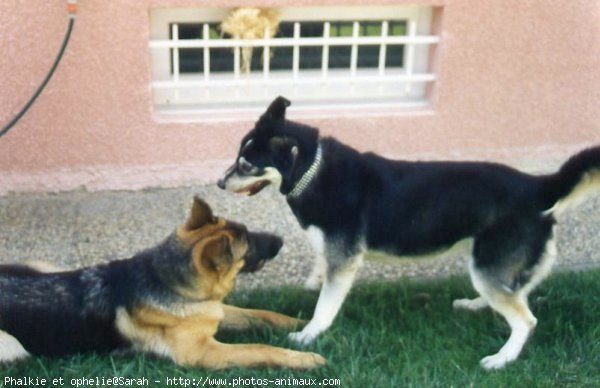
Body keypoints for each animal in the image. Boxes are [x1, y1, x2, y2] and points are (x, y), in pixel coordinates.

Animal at [0, 197, 326, 370]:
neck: (163, 276)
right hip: (13, 346)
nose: (281, 241)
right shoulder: (203, 352)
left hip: (44, 265)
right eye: (249, 244)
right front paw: (304, 357)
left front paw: (304, 326)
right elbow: (260, 348)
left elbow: (264, 314)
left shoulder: (213, 311)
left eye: (247, 229)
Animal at [218, 95, 600, 368]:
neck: (312, 171)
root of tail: (538, 186)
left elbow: (325, 306)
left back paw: (501, 359)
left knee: (526, 319)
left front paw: (308, 335)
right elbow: (320, 273)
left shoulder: (344, 260)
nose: (220, 183)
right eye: (237, 156)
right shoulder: (333, 254)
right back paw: (477, 305)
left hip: (489, 262)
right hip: (490, 262)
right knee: (516, 289)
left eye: (246, 165)